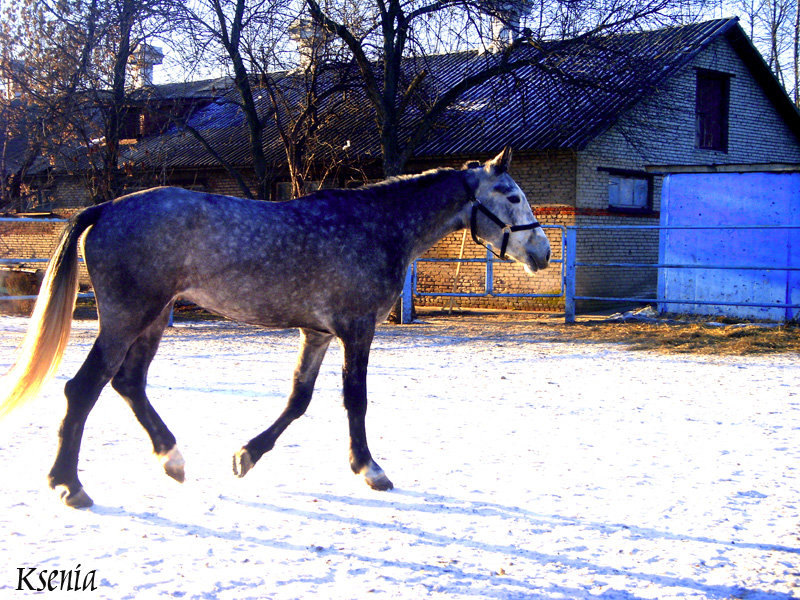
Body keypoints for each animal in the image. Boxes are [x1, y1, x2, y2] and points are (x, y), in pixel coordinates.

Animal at [0, 145, 552, 506]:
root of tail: (106, 207)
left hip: (152, 318)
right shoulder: (357, 330)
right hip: (126, 317)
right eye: (511, 195)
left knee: (128, 384)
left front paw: (246, 456)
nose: (543, 253)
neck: (377, 225)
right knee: (83, 389)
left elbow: (298, 401)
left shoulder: (319, 333)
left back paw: (172, 460)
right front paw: (370, 470)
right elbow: (356, 400)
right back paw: (69, 485)